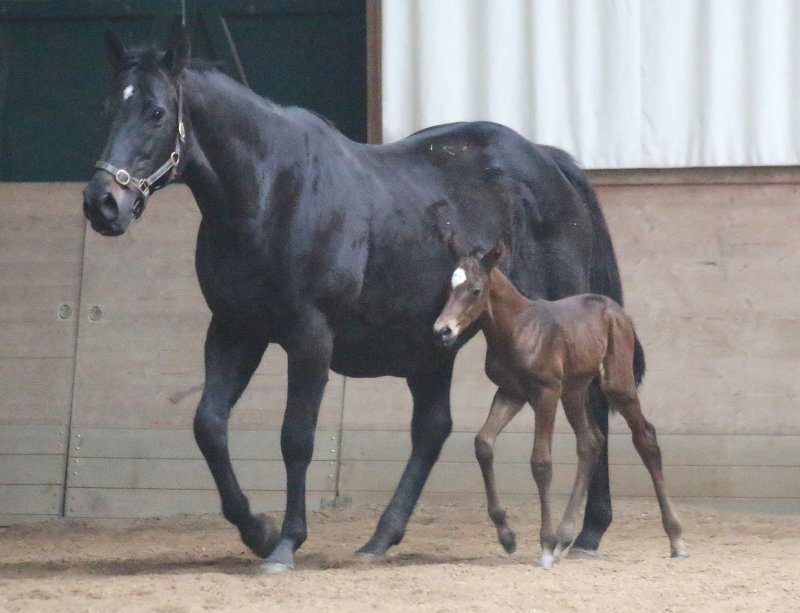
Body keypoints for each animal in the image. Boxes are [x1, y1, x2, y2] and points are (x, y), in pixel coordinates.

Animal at [81, 32, 636, 568]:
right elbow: (209, 427)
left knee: (591, 407)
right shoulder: (234, 330)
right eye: (108, 108)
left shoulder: (310, 336)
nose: (102, 203)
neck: (269, 193)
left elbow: (296, 437)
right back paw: (382, 537)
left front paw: (286, 543)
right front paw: (258, 530)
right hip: (432, 347)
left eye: (156, 111)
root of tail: (552, 164)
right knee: (433, 429)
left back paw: (588, 531)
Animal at [434, 241, 684, 568]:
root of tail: (619, 311)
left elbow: (541, 462)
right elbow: (483, 443)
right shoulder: (511, 392)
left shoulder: (545, 392)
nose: (442, 331)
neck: (517, 328)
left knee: (646, 439)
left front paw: (544, 545)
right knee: (590, 443)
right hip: (575, 391)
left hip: (616, 385)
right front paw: (507, 536)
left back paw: (676, 538)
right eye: (449, 288)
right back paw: (566, 536)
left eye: (475, 290)